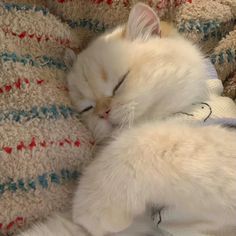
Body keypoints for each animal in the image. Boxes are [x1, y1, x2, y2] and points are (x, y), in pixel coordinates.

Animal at [19, 2, 236, 236]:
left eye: (120, 83)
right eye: (87, 108)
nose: (103, 112)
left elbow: (141, 142)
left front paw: (91, 205)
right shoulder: (148, 224)